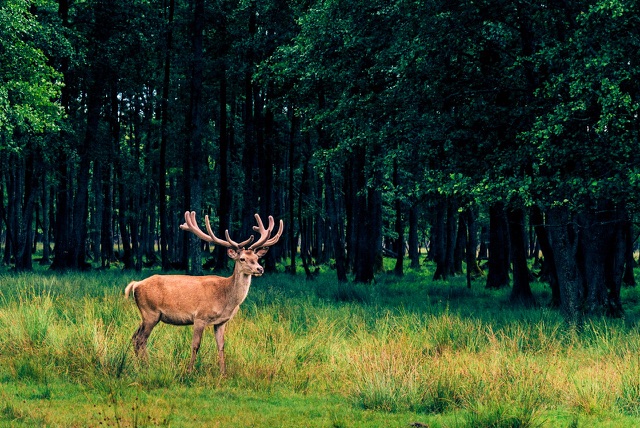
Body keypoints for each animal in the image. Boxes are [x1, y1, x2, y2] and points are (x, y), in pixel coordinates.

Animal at [124, 211, 283, 374]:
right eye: (242, 258)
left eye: (257, 258)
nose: (260, 269)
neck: (226, 298)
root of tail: (136, 284)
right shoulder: (200, 317)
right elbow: (195, 345)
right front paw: (189, 371)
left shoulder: (221, 322)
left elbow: (221, 346)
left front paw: (223, 373)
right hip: (150, 312)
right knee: (141, 339)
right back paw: (146, 366)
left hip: (147, 315)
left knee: (134, 337)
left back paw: (141, 365)